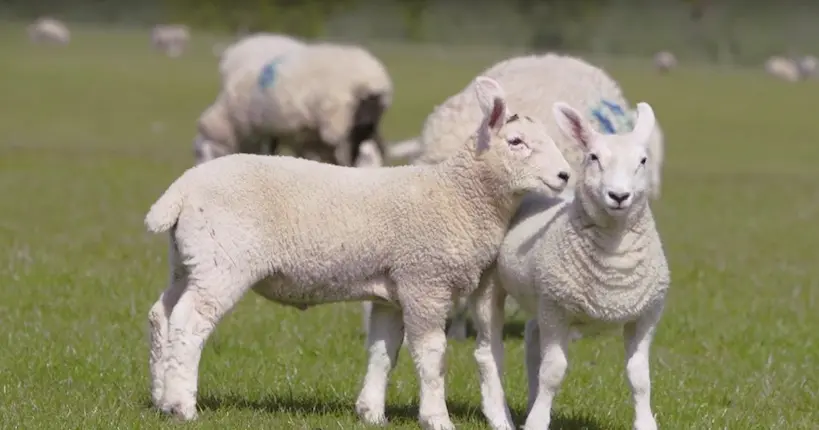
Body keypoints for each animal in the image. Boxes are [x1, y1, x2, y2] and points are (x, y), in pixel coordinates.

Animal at [144, 75, 572, 428]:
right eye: (516, 142)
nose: (565, 176)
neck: (458, 194)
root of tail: (181, 190)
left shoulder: (392, 291)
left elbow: (383, 352)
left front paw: (371, 413)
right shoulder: (424, 282)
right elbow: (432, 356)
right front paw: (437, 418)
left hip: (189, 260)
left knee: (161, 314)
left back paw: (160, 397)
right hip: (222, 262)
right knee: (188, 322)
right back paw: (182, 405)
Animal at [195, 42, 394, 168]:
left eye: (199, 153)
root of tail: (372, 78)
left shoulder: (265, 132)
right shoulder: (298, 134)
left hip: (339, 123)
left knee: (350, 155)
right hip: (366, 124)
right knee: (377, 148)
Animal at [474, 100, 672, 430]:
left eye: (643, 160)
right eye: (593, 157)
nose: (619, 196)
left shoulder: (646, 315)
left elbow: (640, 377)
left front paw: (646, 424)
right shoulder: (557, 310)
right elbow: (553, 372)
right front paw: (537, 422)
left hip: (542, 298)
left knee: (532, 337)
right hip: (497, 288)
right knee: (490, 352)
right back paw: (501, 415)